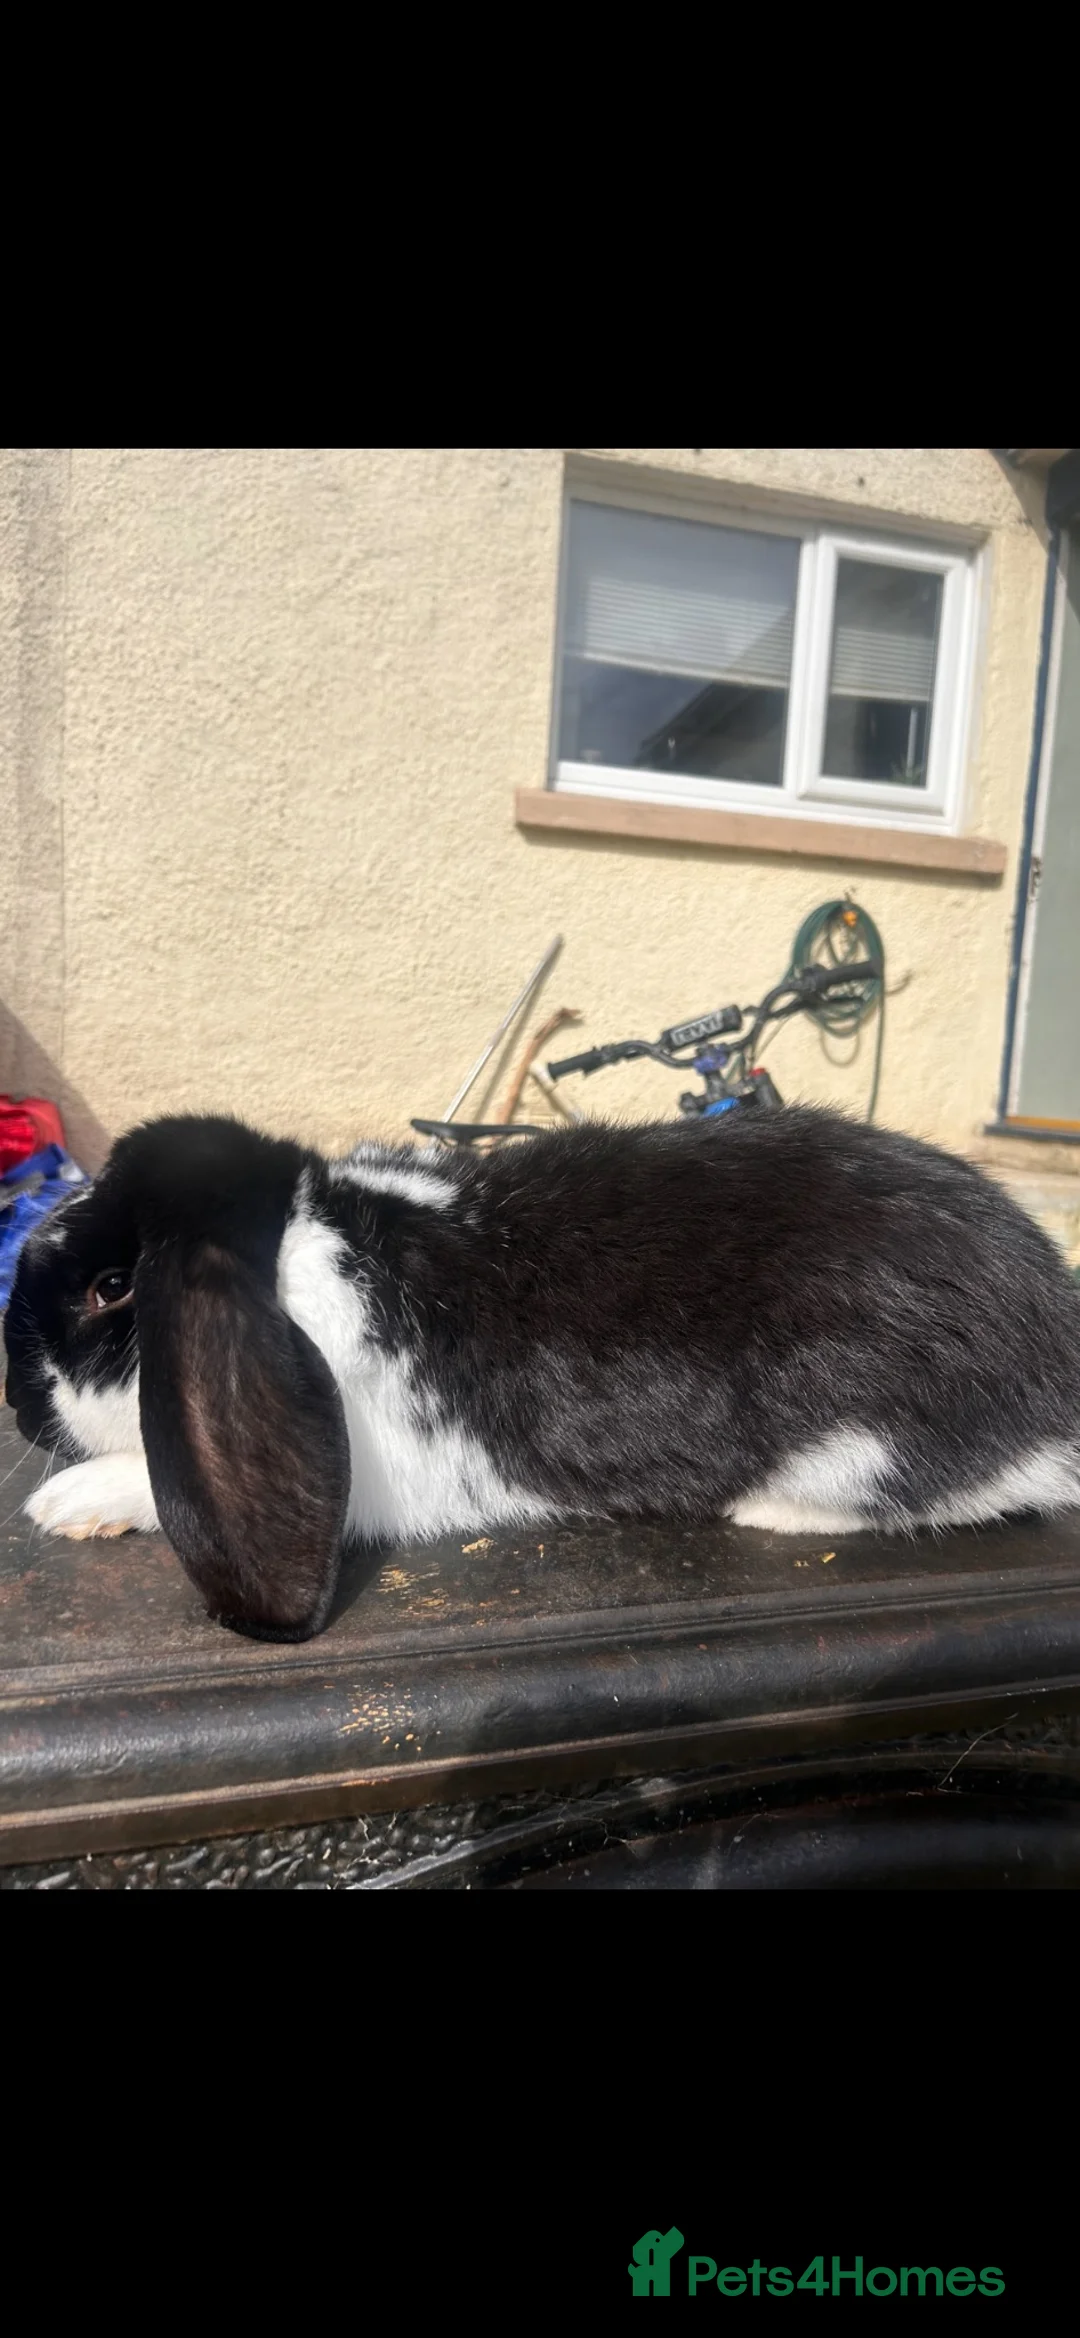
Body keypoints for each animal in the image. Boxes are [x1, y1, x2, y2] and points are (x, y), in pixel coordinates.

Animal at [5, 1105, 1080, 1644]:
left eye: (111, 1287)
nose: (18, 1405)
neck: (298, 1254)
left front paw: (64, 1502)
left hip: (865, 1435)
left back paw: (767, 1511)